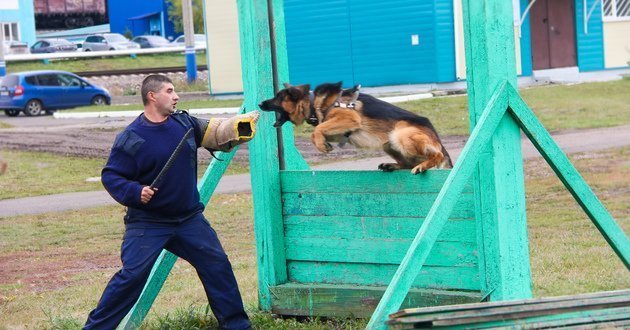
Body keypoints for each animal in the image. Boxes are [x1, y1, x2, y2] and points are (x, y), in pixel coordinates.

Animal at [260, 82, 452, 173]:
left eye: (278, 98)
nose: (259, 103)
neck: (314, 103)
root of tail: (437, 139)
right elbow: (318, 130)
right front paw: (323, 143)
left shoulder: (350, 118)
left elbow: (316, 130)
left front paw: (321, 145)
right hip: (389, 144)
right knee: (407, 163)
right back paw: (392, 165)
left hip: (401, 134)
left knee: (437, 155)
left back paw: (423, 165)